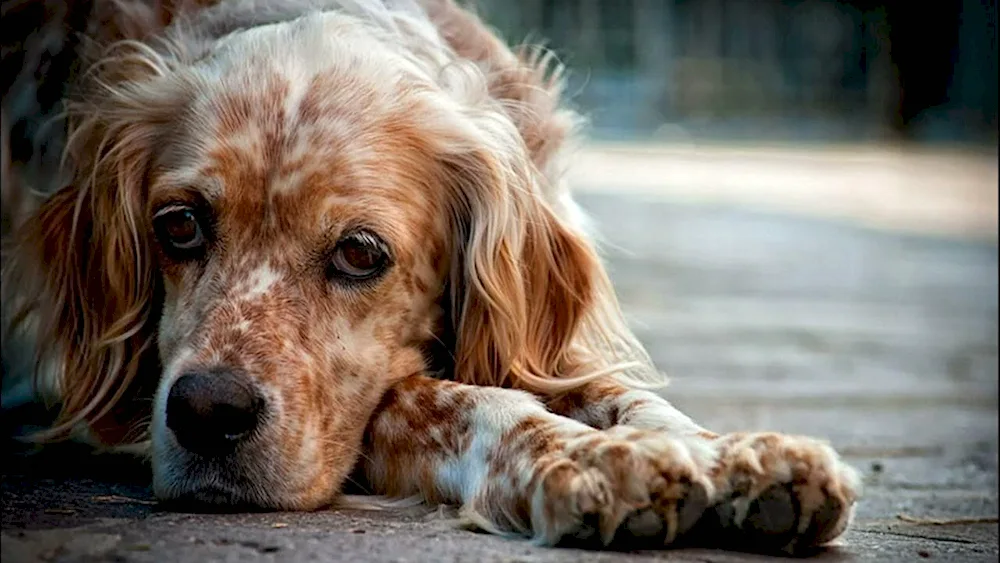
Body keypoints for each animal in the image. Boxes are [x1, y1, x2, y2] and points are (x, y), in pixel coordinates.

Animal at [0, 0, 860, 556]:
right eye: (178, 225)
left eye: (360, 252)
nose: (207, 413)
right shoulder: (95, 397)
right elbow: (437, 399)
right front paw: (585, 457)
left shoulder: (543, 344)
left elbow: (627, 396)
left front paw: (740, 455)